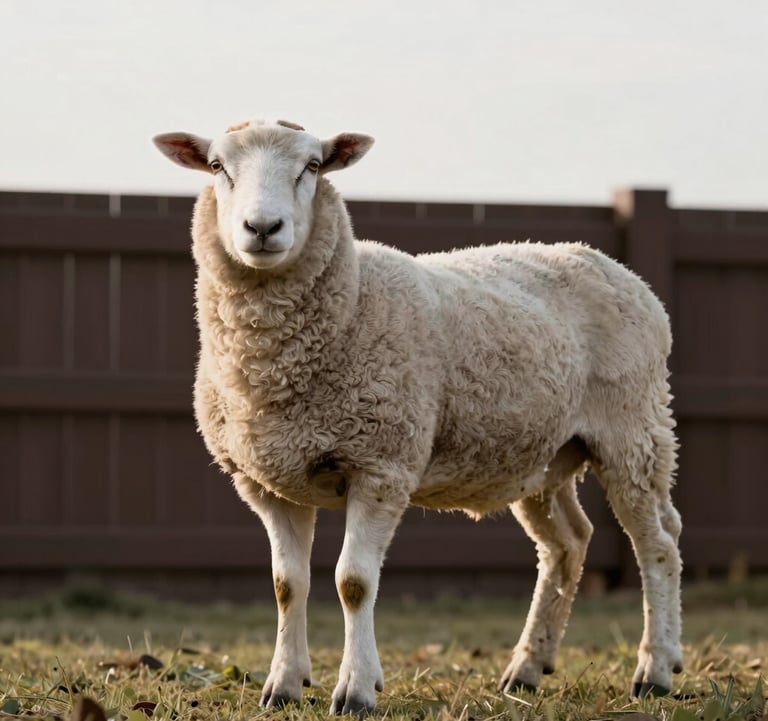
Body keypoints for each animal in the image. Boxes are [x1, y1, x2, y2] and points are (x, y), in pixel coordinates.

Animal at [153, 118, 683, 715]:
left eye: (312, 167)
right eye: (218, 166)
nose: (262, 227)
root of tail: (608, 263)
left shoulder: (382, 464)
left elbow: (353, 582)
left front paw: (356, 690)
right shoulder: (267, 482)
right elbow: (287, 585)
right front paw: (283, 685)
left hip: (633, 430)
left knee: (658, 543)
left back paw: (655, 669)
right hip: (544, 455)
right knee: (567, 544)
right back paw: (527, 668)